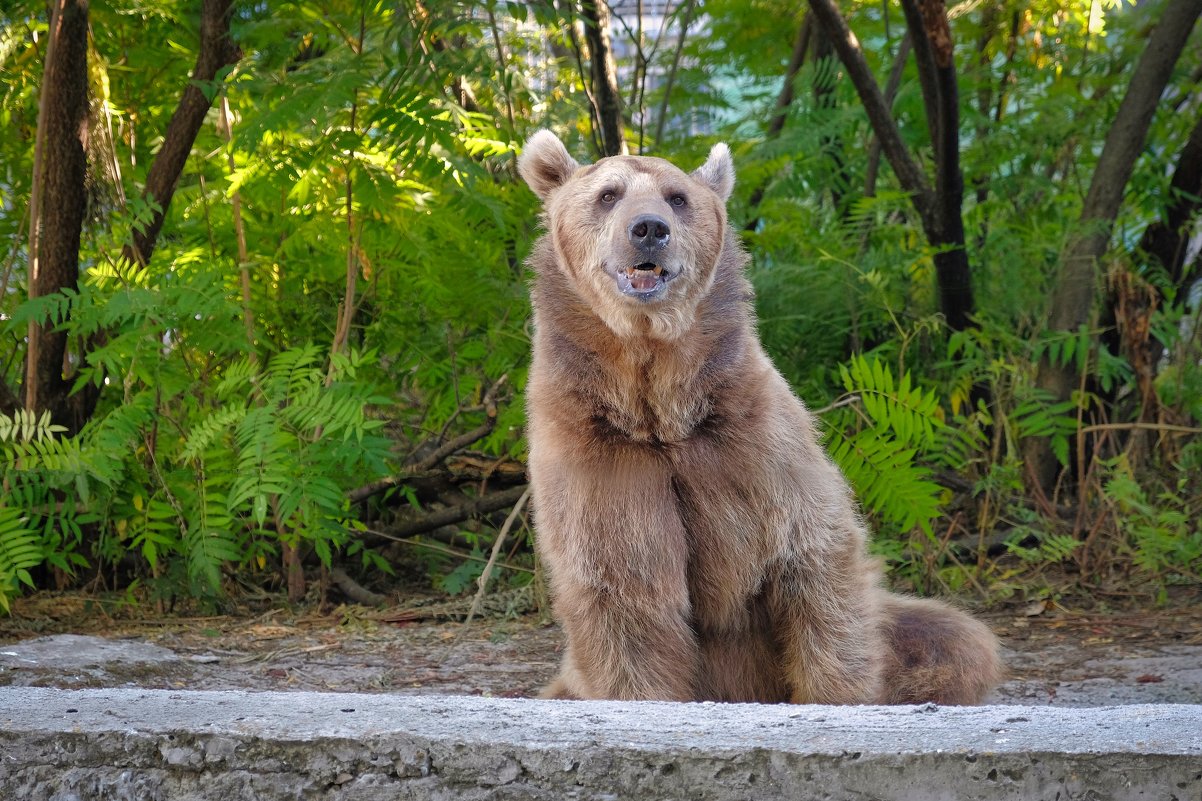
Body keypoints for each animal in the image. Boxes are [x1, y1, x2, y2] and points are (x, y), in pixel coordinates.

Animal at [514, 129, 995, 697]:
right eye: (608, 194)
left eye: (677, 197)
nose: (649, 229)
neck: (657, 401)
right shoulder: (602, 456)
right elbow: (622, 592)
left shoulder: (748, 438)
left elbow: (812, 555)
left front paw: (833, 692)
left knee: (952, 636)